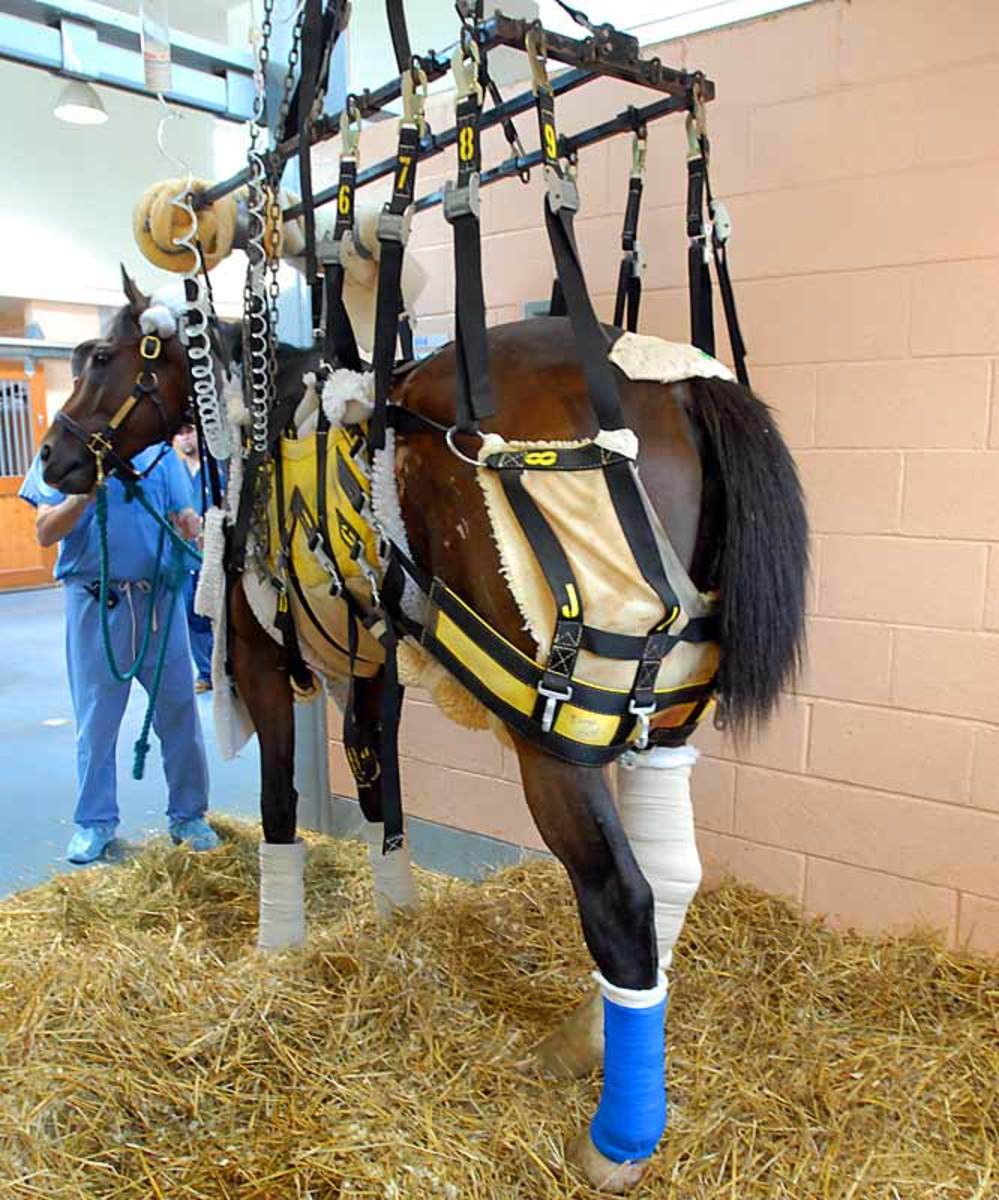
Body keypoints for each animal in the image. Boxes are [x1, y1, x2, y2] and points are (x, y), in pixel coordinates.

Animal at [38, 270, 808, 1192]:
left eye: (101, 357)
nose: (51, 460)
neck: (270, 414)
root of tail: (677, 382)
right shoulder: (375, 659)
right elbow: (382, 792)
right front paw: (395, 911)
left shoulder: (263, 657)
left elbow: (279, 802)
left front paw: (278, 941)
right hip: (661, 725)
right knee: (670, 876)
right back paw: (586, 1039)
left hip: (556, 736)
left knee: (621, 898)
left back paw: (616, 1140)